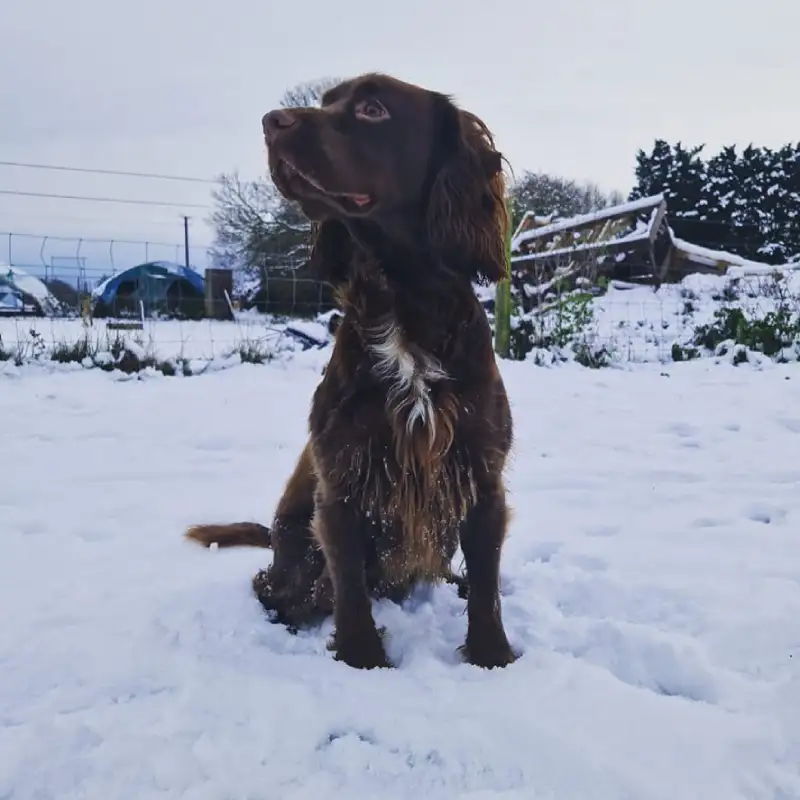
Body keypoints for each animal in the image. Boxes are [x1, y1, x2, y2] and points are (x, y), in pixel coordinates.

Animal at [184, 73, 516, 668]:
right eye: (325, 102)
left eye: (372, 109)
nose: (270, 121)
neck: (404, 302)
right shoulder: (343, 479)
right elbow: (351, 590)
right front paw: (363, 661)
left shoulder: (480, 473)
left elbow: (486, 585)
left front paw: (492, 658)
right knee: (279, 589)